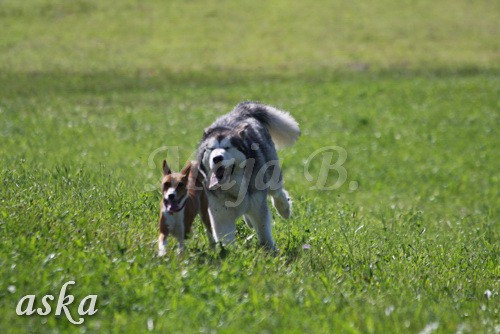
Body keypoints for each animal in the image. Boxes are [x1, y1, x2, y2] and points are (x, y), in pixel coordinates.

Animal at [196, 102, 298, 250]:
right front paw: (229, 253)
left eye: (227, 147)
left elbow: (263, 231)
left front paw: (271, 250)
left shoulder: (258, 205)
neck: (233, 183)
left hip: (271, 173)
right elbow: (225, 236)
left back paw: (284, 209)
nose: (217, 158)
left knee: (277, 192)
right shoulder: (220, 212)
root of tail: (241, 111)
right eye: (211, 149)